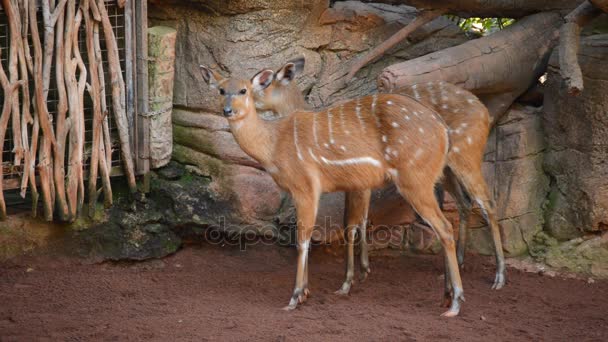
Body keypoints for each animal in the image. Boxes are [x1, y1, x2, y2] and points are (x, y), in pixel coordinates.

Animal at [202, 64, 468, 316]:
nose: (228, 111)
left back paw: (455, 303)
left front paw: (295, 298)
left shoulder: (306, 187)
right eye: (221, 90)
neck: (273, 144)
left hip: (415, 180)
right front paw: (308, 293)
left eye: (244, 90)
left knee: (445, 227)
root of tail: (443, 130)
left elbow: (303, 239)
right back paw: (446, 296)